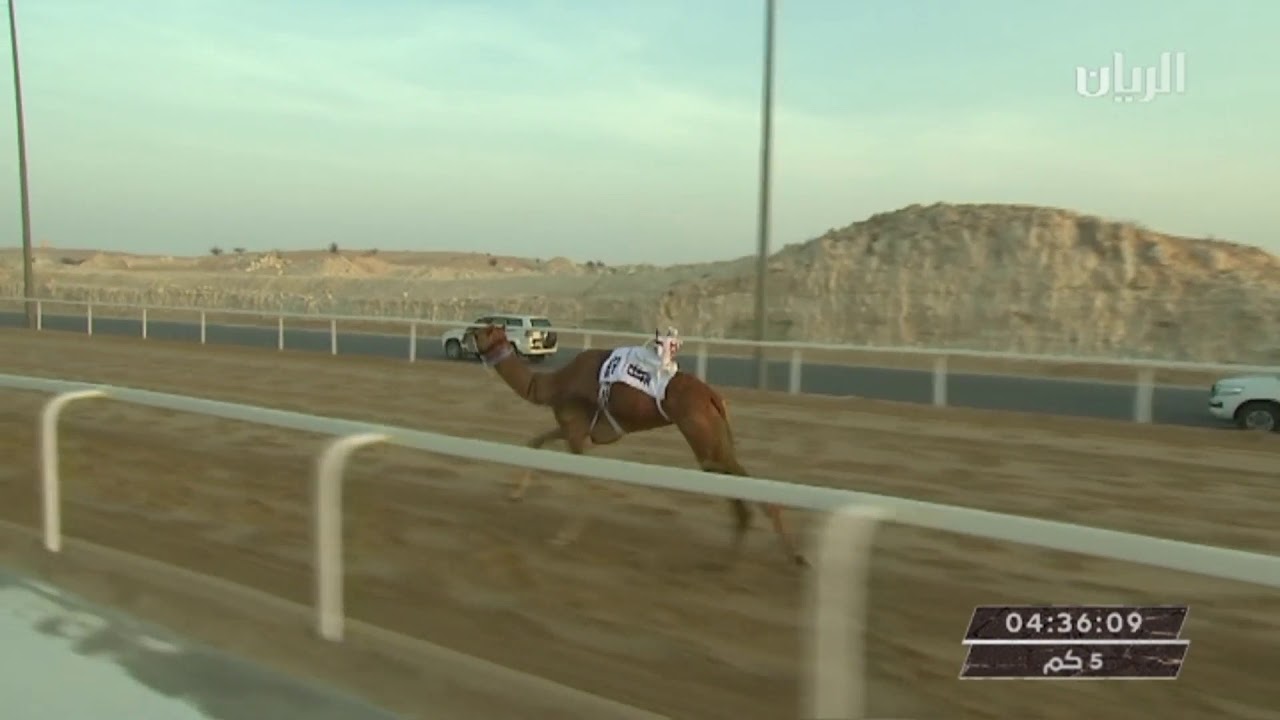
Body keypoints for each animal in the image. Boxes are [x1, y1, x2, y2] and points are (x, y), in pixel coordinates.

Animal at [470, 323, 808, 567]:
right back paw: (758, 552)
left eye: (482, 330)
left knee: (735, 479)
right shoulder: (572, 428)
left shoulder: (576, 433)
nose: (464, 334)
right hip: (714, 436)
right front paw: (515, 494)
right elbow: (535, 442)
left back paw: (772, 554)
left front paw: (564, 537)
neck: (549, 385)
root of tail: (712, 396)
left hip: (702, 436)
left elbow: (586, 482)